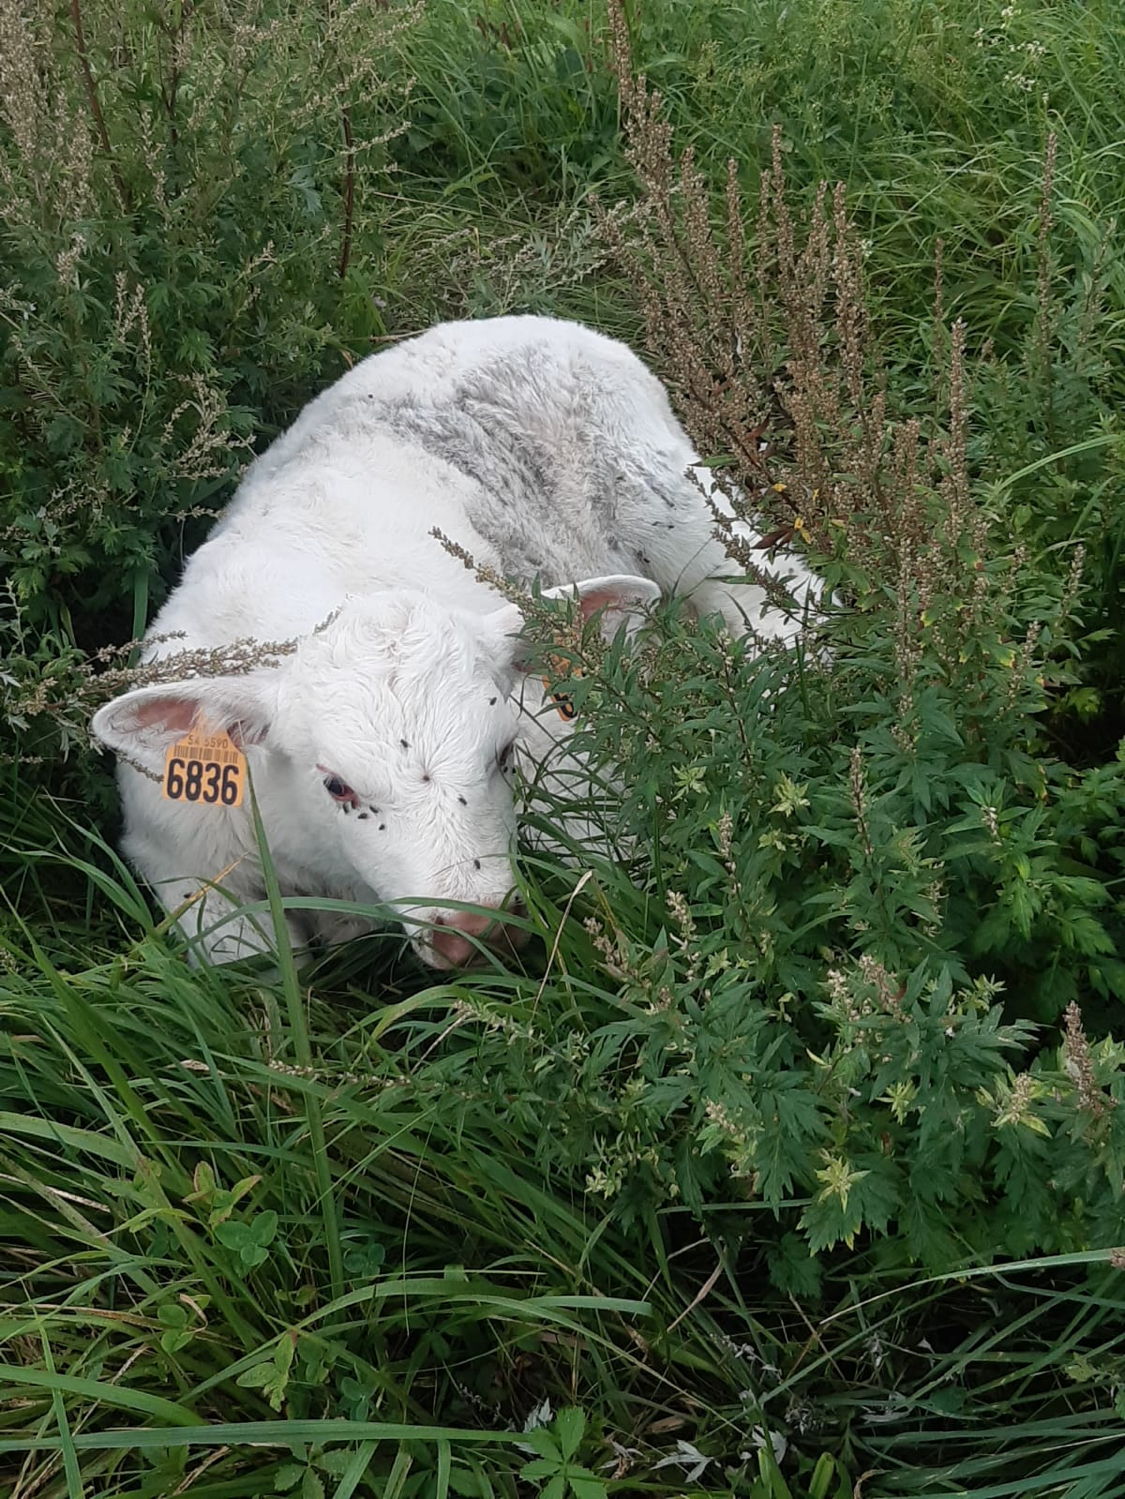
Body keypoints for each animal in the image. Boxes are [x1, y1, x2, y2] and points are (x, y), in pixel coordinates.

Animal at [92, 319, 820, 971]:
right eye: (335, 784)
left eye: (502, 754)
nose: (474, 927)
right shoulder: (179, 861)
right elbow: (258, 965)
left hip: (667, 495)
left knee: (782, 601)